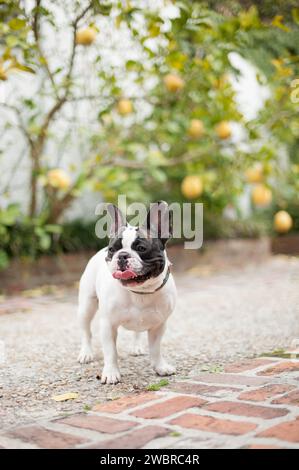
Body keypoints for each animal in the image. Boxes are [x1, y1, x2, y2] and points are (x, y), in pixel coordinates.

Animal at [77, 200, 178, 384]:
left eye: (141, 248)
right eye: (112, 249)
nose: (122, 255)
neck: (140, 292)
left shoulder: (159, 325)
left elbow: (156, 349)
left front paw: (160, 367)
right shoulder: (108, 325)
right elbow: (111, 352)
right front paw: (111, 373)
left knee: (137, 332)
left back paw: (136, 347)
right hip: (86, 306)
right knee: (86, 331)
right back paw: (86, 353)